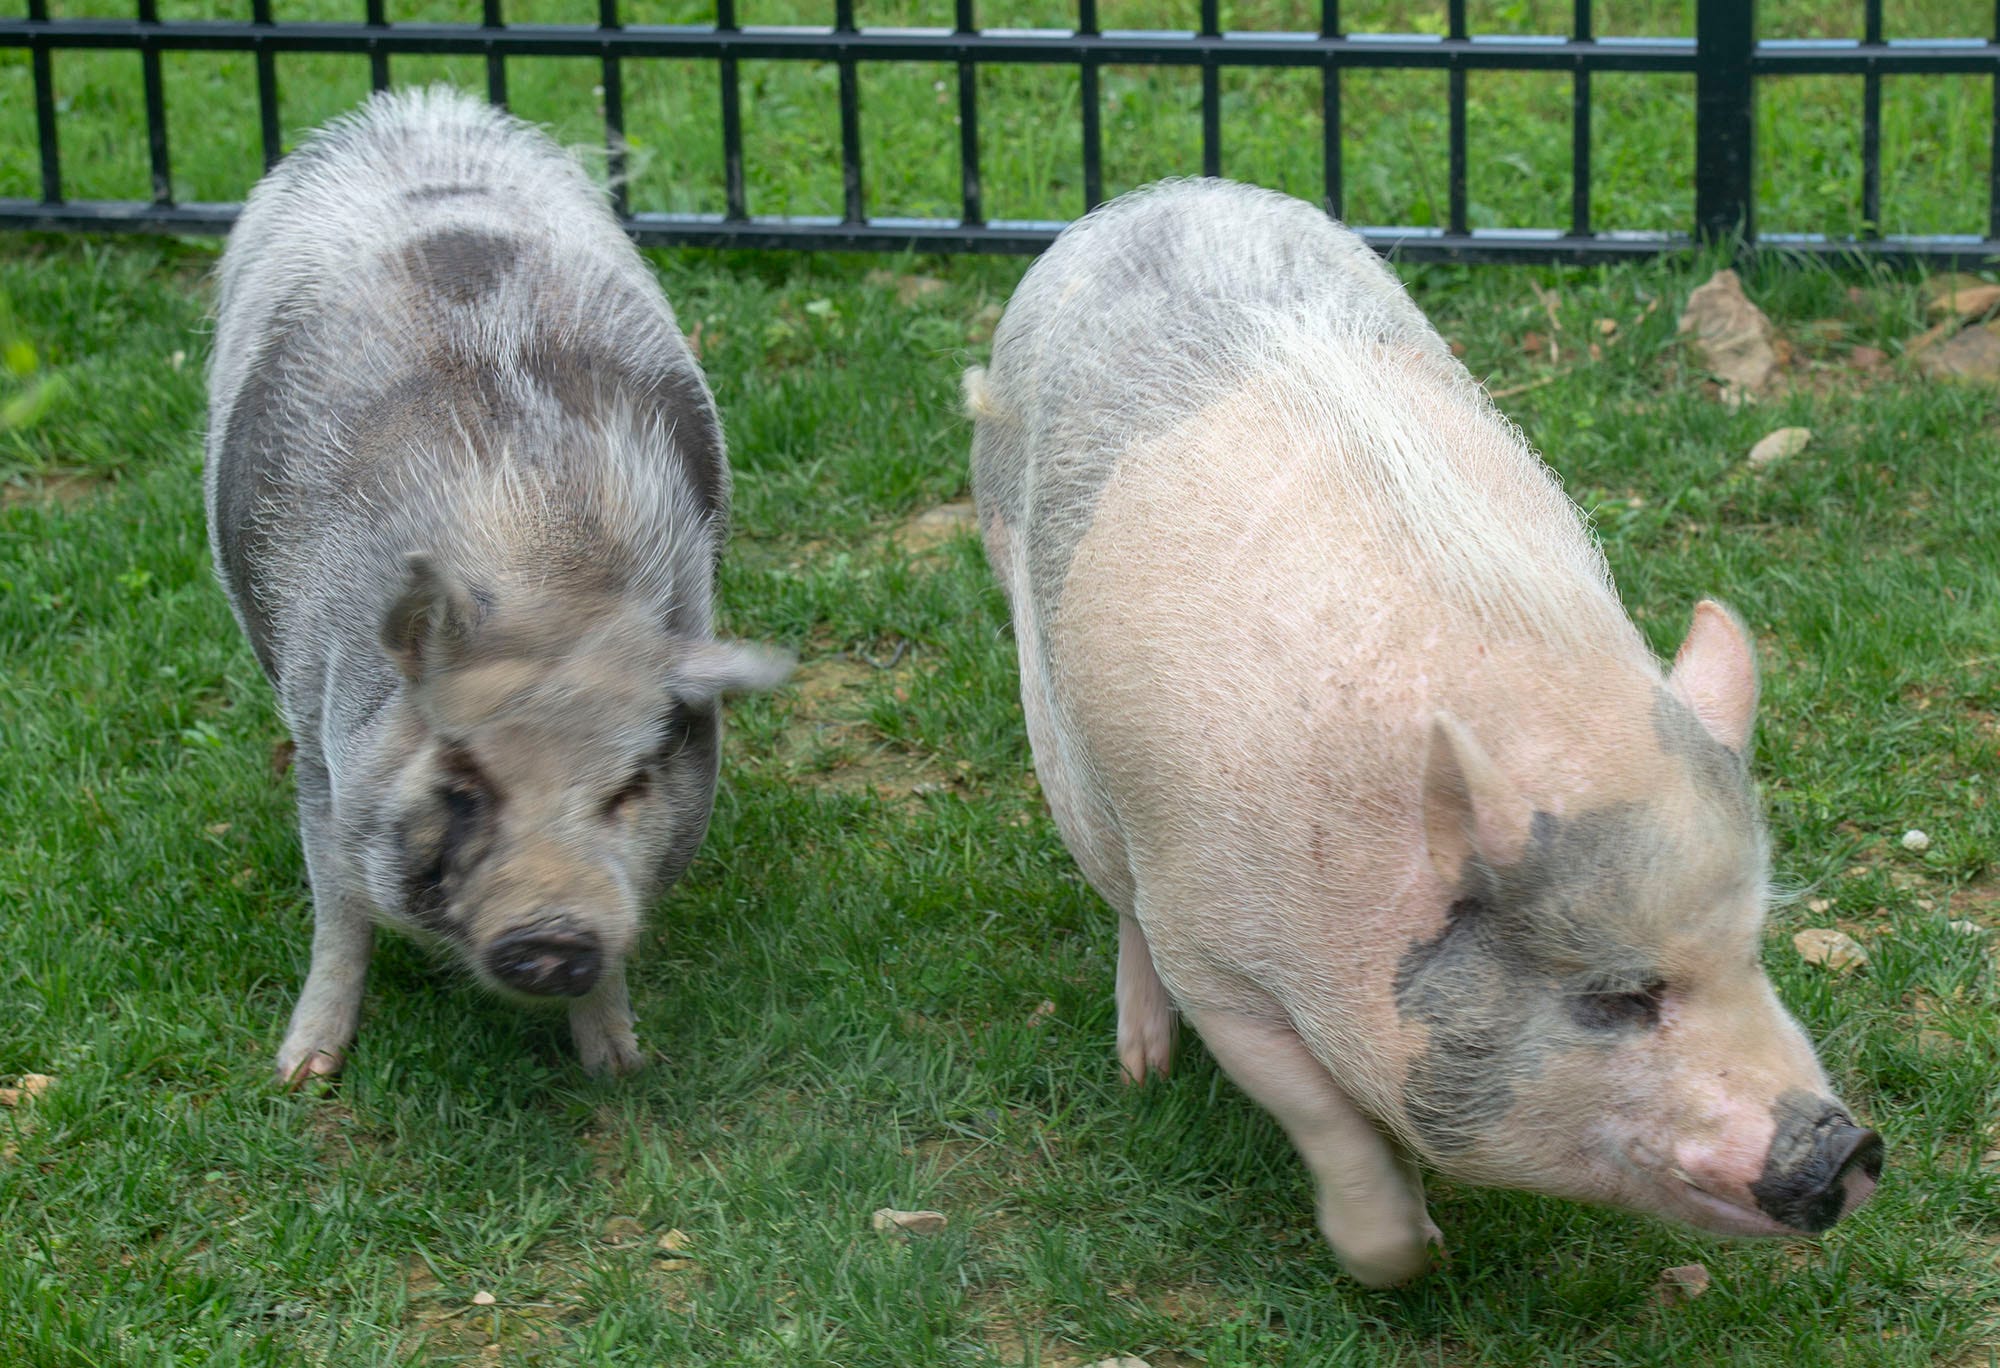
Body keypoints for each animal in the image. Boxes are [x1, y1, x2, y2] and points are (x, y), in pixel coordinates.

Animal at [207, 88, 784, 1088]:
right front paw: (300, 1073)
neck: (543, 571)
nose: (551, 937)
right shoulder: (322, 735)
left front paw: (619, 1067)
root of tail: (422, 107)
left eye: (630, 783)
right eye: (463, 779)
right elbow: (337, 906)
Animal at [964, 179, 1872, 1280]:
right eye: (1618, 996)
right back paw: (1143, 1066)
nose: (1846, 1147)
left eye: (1752, 946)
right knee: (1113, 887)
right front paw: (1416, 1252)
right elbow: (1321, 1116)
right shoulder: (1215, 961)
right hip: (1056, 725)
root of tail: (1157, 197)